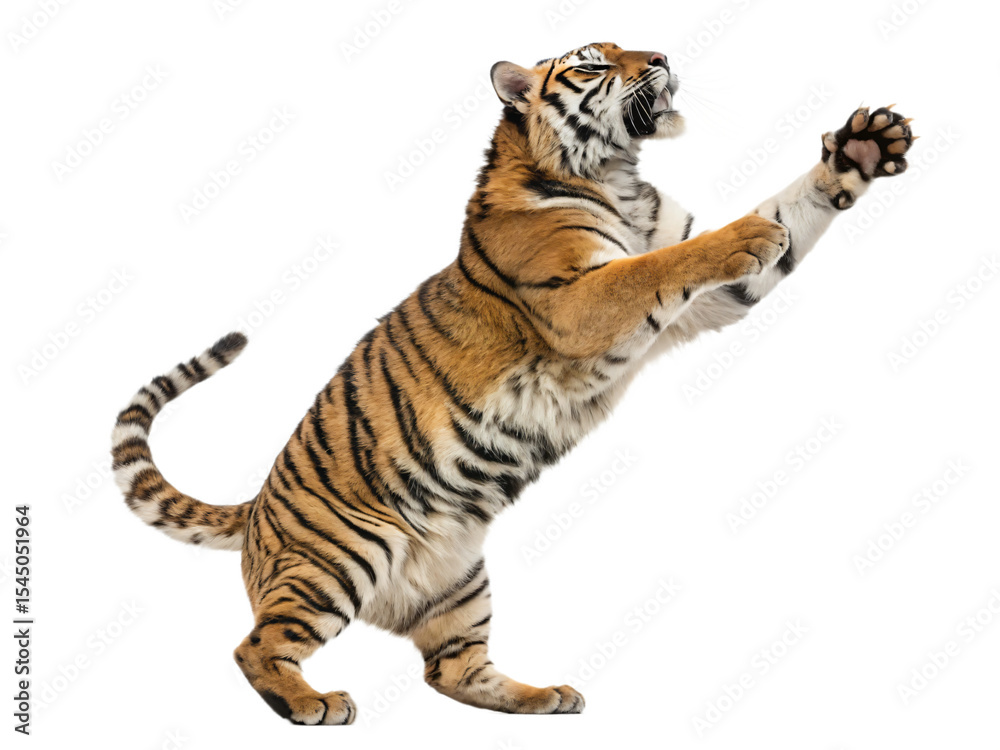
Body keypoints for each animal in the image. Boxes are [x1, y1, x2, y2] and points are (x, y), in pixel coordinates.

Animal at [112, 42, 914, 724]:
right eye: (594, 63)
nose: (661, 56)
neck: (616, 176)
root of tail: (254, 509)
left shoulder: (707, 301)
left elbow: (788, 209)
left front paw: (863, 147)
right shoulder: (581, 301)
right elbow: (661, 262)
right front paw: (750, 232)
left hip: (461, 583)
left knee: (451, 672)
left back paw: (545, 696)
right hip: (342, 555)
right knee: (252, 646)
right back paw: (312, 703)